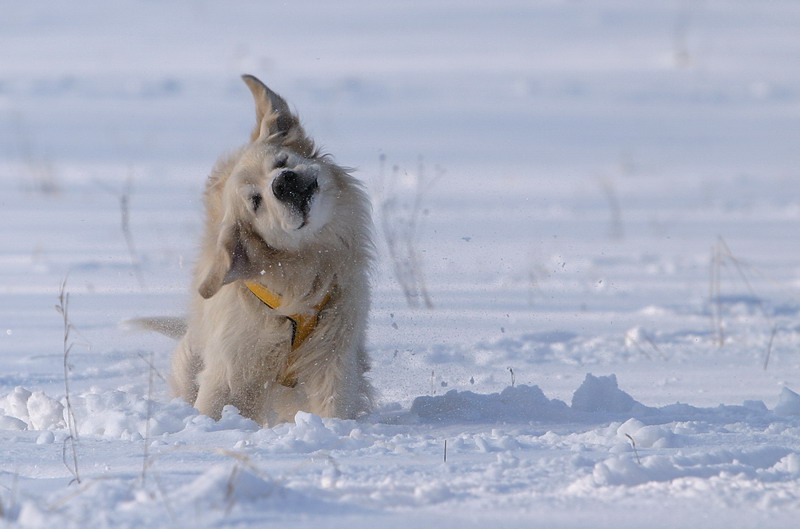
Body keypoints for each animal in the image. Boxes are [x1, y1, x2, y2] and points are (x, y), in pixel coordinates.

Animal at [141, 74, 376, 424]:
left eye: (281, 161)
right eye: (255, 202)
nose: (284, 182)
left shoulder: (332, 355)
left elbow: (334, 404)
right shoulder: (234, 364)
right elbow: (216, 402)